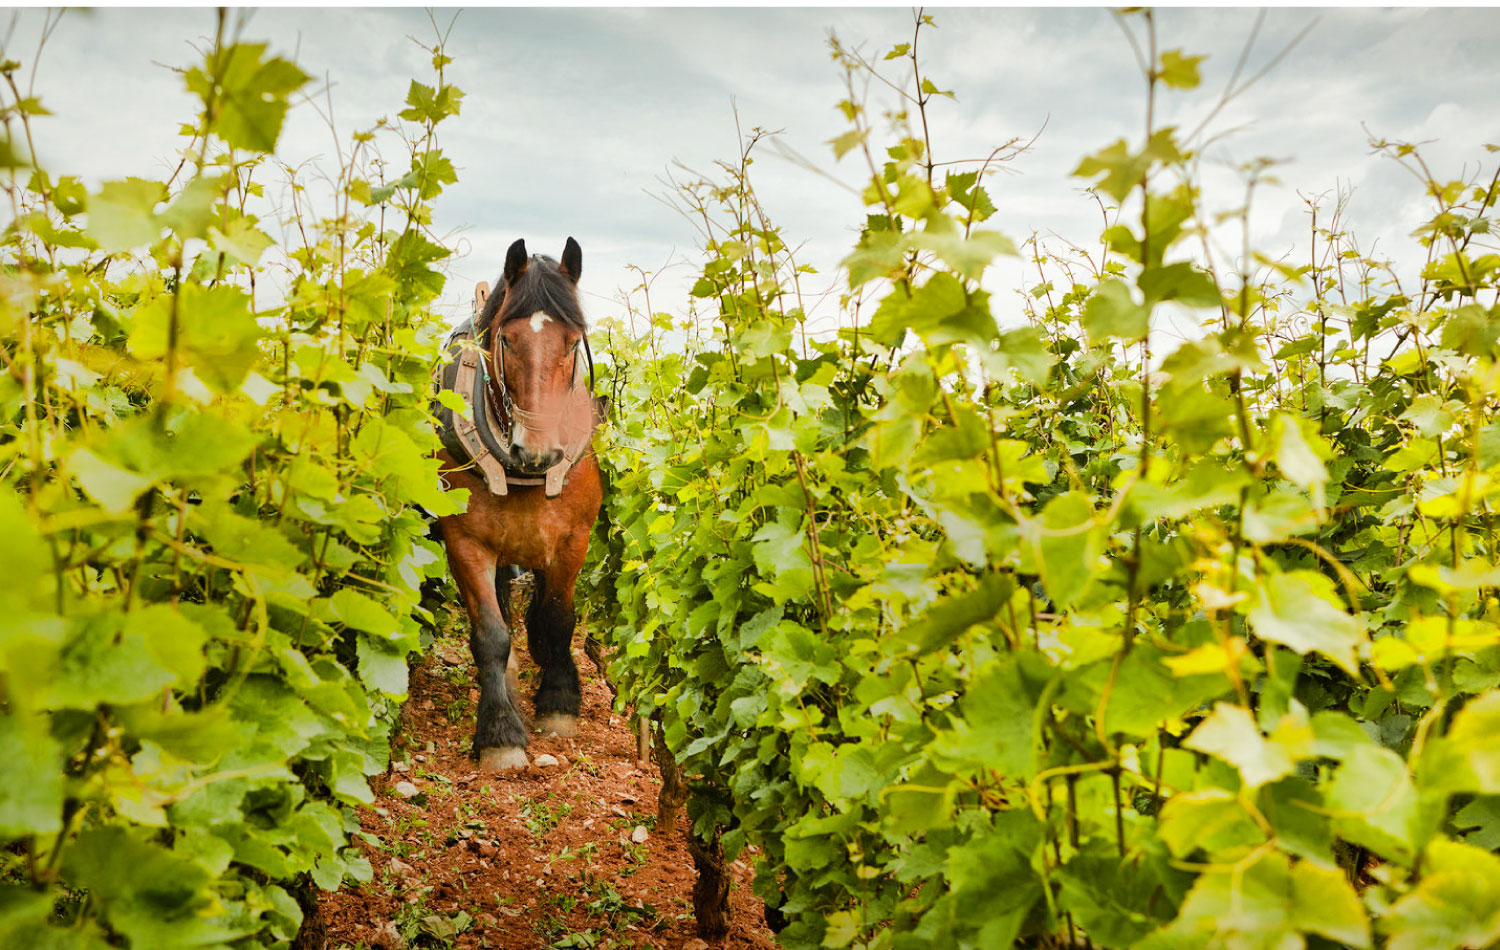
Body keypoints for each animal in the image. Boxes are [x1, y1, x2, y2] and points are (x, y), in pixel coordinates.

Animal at [435, 237, 603, 768]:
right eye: (506, 341)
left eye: (572, 341)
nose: (538, 451)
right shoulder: (464, 542)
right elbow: (490, 632)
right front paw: (499, 733)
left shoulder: (573, 539)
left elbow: (557, 618)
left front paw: (559, 700)